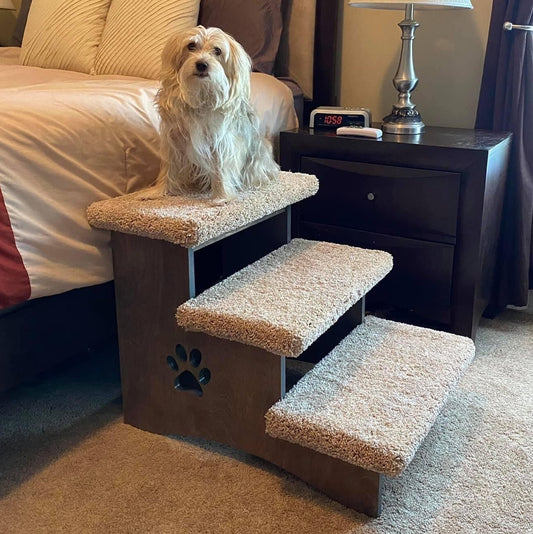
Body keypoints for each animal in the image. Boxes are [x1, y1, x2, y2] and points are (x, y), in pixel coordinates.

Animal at [148, 25, 278, 201]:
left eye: (217, 50)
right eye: (191, 45)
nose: (202, 64)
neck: (202, 94)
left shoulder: (221, 141)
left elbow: (221, 167)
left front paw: (222, 196)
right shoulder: (174, 140)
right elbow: (169, 168)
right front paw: (159, 191)